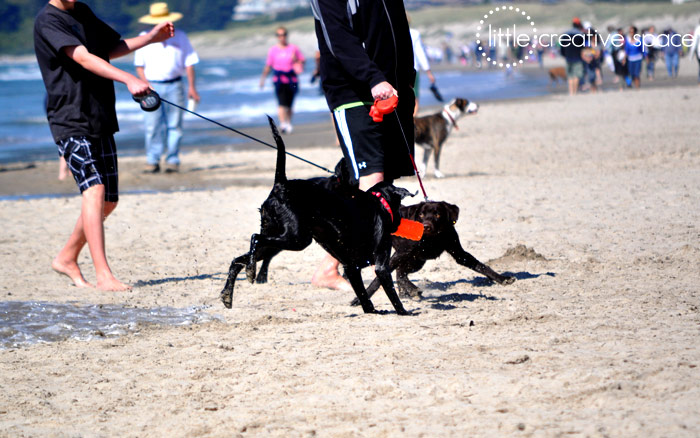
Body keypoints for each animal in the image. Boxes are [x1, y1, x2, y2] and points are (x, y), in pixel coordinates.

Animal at [221, 116, 412, 314]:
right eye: (398, 207)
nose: (399, 221)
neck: (378, 203)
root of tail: (281, 185)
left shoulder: (351, 268)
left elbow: (363, 297)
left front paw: (371, 311)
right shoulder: (381, 265)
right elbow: (392, 295)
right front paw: (404, 313)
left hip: (274, 237)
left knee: (237, 260)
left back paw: (229, 292)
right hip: (297, 239)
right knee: (255, 238)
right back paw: (250, 271)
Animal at [352, 201, 512, 306]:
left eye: (437, 214)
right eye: (422, 214)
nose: (426, 226)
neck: (431, 239)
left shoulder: (459, 254)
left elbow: (481, 266)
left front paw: (502, 278)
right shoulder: (401, 253)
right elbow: (378, 279)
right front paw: (360, 299)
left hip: (416, 262)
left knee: (401, 272)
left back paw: (407, 292)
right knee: (399, 273)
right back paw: (410, 290)